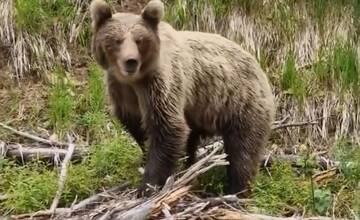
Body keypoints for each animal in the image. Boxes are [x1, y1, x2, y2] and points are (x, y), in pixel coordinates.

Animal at [89, 0, 276, 197]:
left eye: (139, 40)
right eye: (117, 40)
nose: (130, 61)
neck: (134, 81)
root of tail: (260, 68)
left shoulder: (160, 84)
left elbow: (168, 128)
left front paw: (147, 185)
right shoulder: (121, 91)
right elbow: (136, 126)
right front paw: (145, 158)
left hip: (242, 102)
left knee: (243, 151)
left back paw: (236, 190)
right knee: (194, 139)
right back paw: (190, 166)